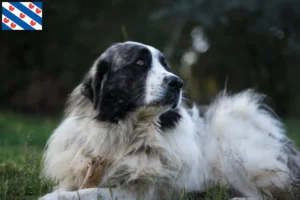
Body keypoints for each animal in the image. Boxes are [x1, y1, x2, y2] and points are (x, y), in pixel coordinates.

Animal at [39, 41, 300, 199]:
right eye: (140, 63)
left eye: (166, 66)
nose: (177, 82)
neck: (126, 132)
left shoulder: (136, 192)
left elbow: (91, 193)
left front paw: (53, 197)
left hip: (234, 141)